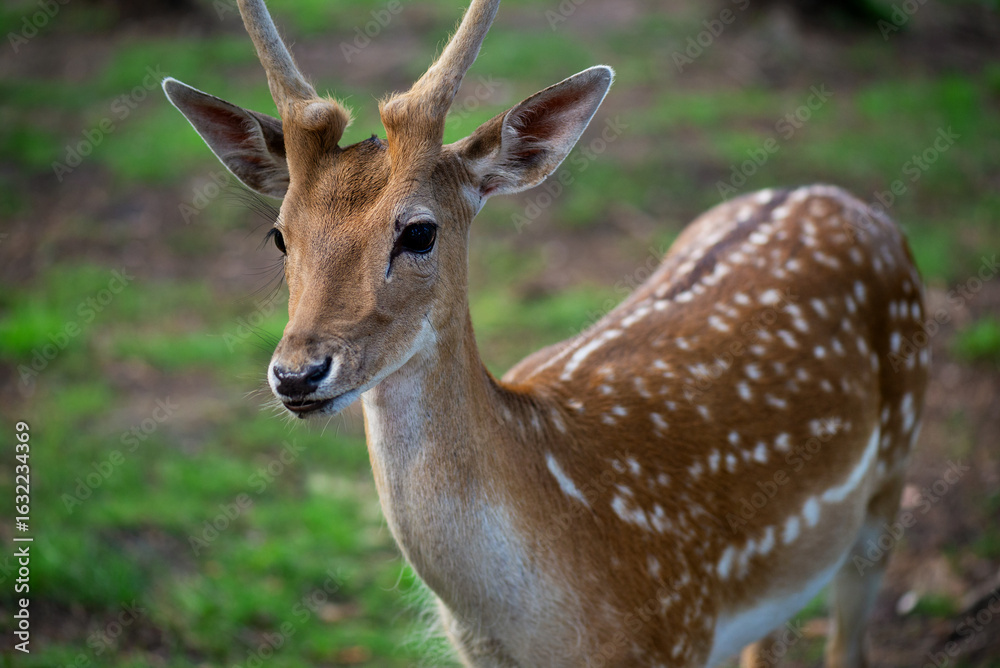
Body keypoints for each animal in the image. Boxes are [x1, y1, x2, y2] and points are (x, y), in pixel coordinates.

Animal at [162, 0, 929, 665]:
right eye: (279, 235)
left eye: (418, 231)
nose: (297, 373)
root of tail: (831, 194)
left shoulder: (675, 634)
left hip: (893, 470)